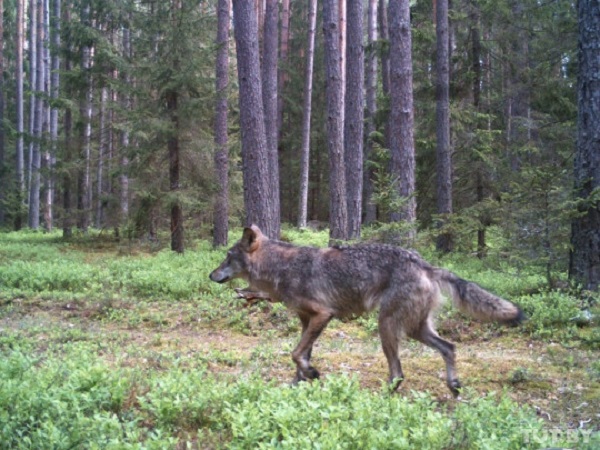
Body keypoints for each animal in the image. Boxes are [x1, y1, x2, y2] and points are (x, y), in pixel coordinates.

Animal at [209, 225, 524, 394]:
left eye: (227, 256)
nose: (211, 275)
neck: (281, 267)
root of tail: (424, 263)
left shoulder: (323, 315)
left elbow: (296, 353)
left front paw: (311, 374)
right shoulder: (306, 321)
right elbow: (301, 356)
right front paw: (299, 382)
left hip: (388, 326)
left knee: (399, 373)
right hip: (415, 329)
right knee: (449, 347)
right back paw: (454, 384)